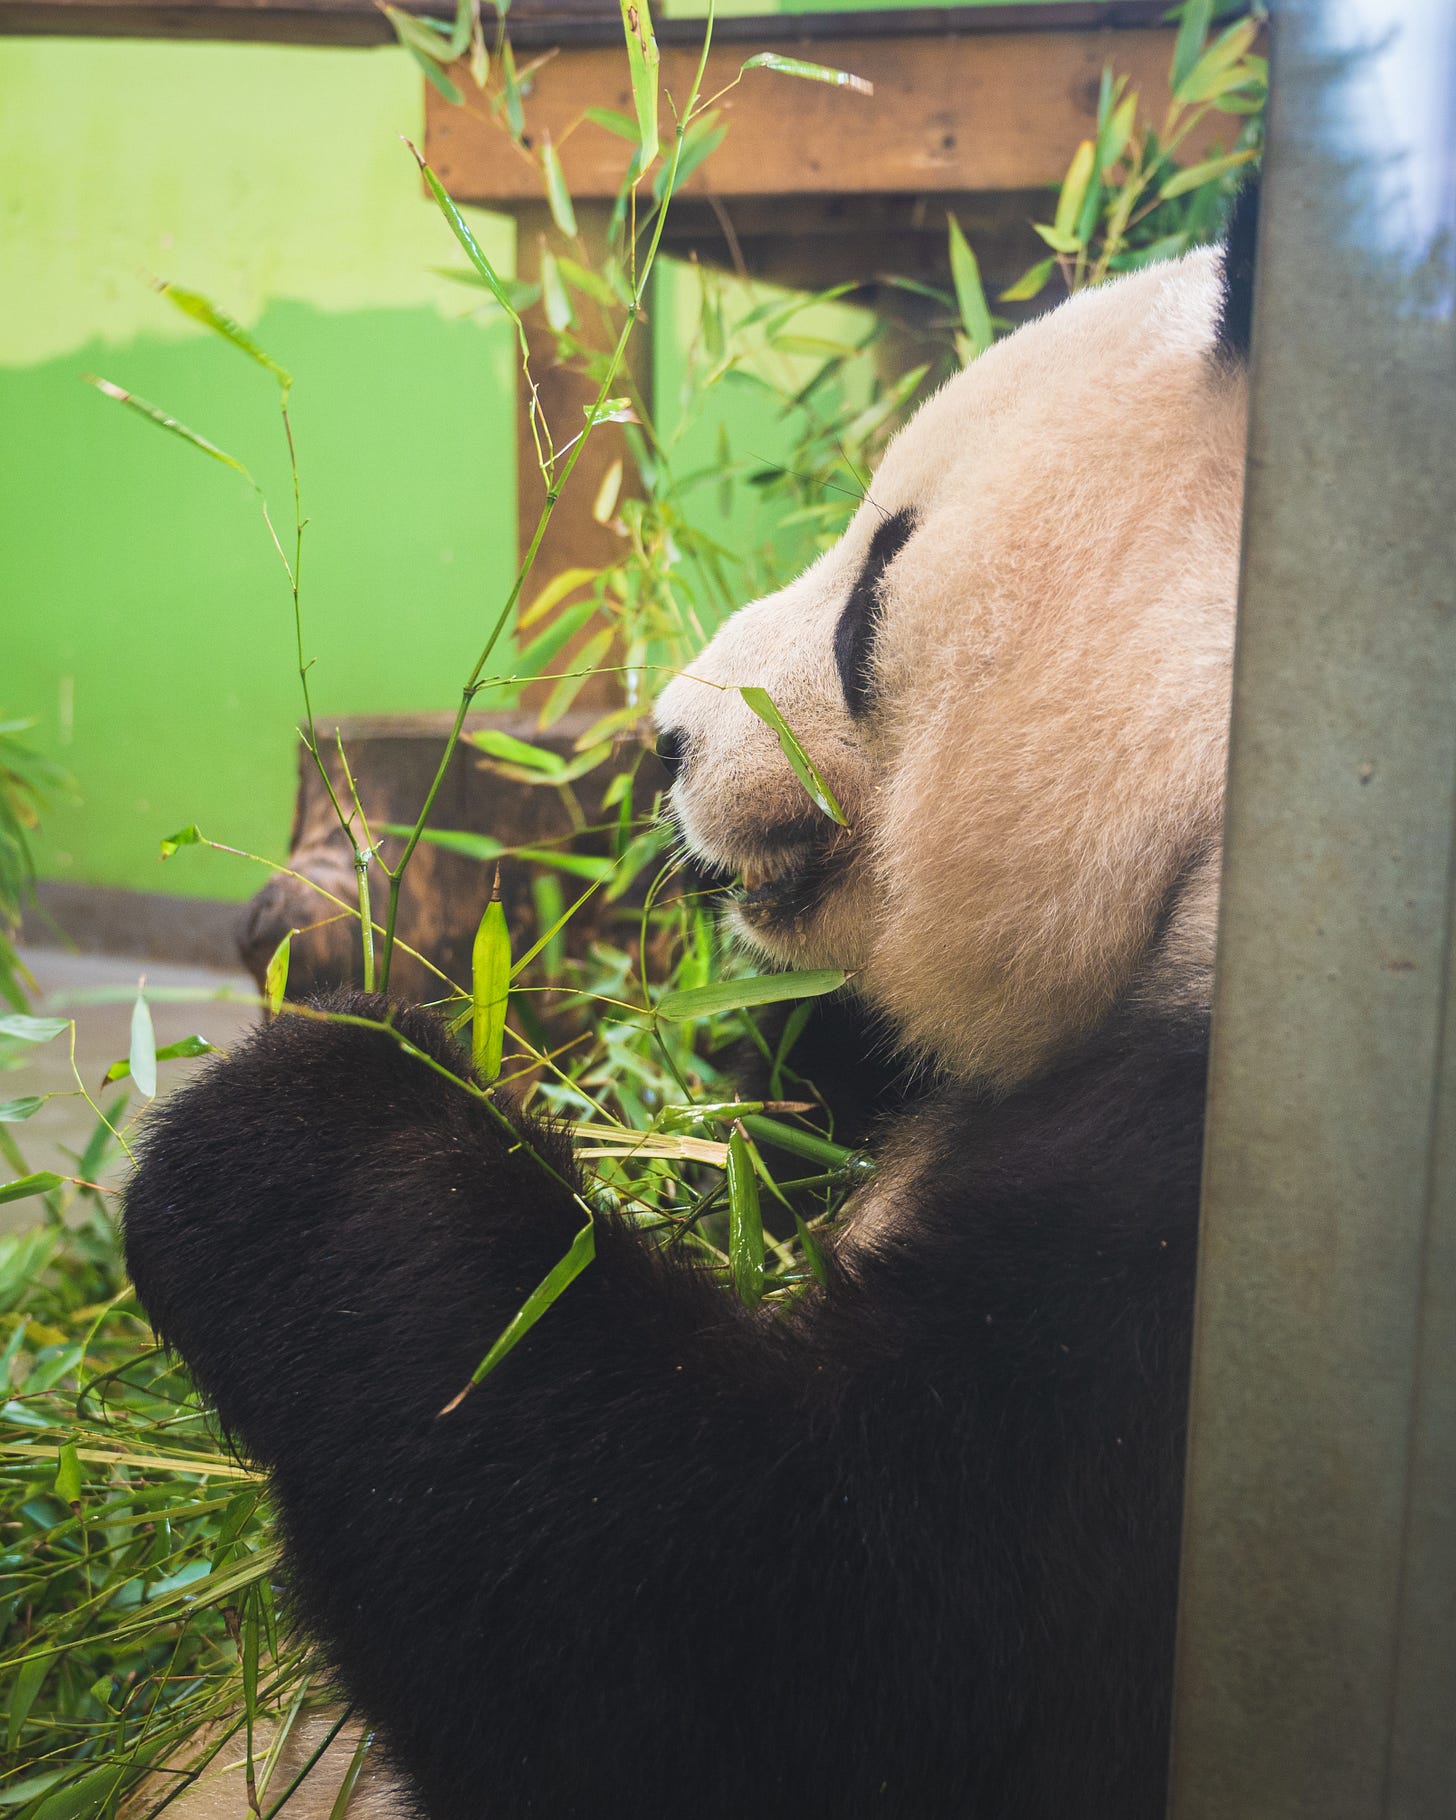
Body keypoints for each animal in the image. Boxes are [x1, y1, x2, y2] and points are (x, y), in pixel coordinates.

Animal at [123, 191, 1256, 1820]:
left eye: (875, 585)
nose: (665, 737)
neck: (1208, 816)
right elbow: (790, 1084)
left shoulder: (1215, 1234)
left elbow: (807, 1638)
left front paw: (290, 1113)